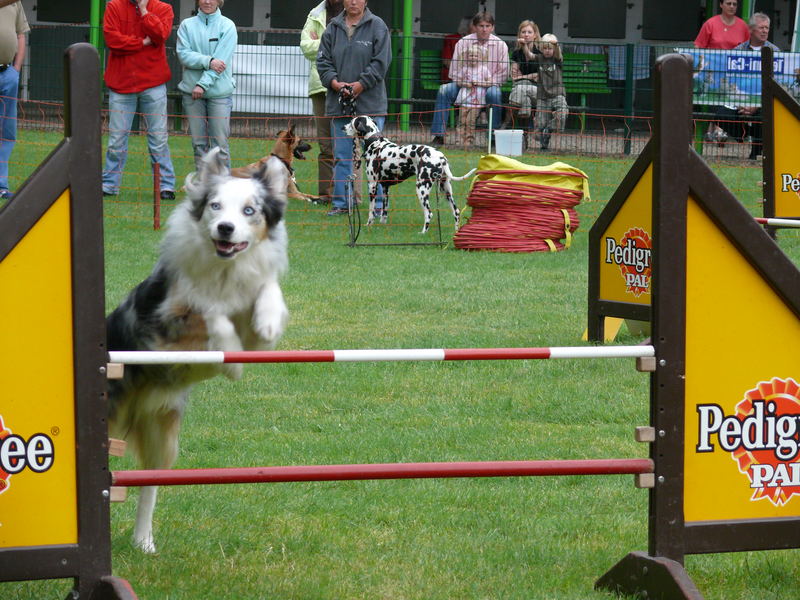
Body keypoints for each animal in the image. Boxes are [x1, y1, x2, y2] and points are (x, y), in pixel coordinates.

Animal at [106, 146, 290, 552]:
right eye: (215, 206)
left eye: (249, 210)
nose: (225, 228)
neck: (225, 269)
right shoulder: (165, 323)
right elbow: (210, 310)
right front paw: (230, 359)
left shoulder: (254, 307)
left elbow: (267, 290)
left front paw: (269, 322)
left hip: (163, 431)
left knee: (149, 485)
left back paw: (143, 541)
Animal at [344, 115, 476, 234]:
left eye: (351, 122)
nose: (342, 127)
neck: (375, 143)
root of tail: (441, 157)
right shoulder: (386, 188)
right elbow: (384, 211)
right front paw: (382, 226)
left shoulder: (372, 185)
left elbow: (371, 210)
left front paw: (368, 225)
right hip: (446, 190)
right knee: (456, 212)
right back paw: (456, 232)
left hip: (421, 189)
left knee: (429, 213)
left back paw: (423, 232)